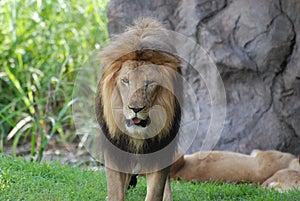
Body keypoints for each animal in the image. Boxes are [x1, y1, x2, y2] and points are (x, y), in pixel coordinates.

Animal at [95, 18, 182, 200]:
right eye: (125, 81)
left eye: (149, 83)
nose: (135, 108)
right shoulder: (115, 145)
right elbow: (115, 188)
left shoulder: (161, 145)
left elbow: (156, 189)